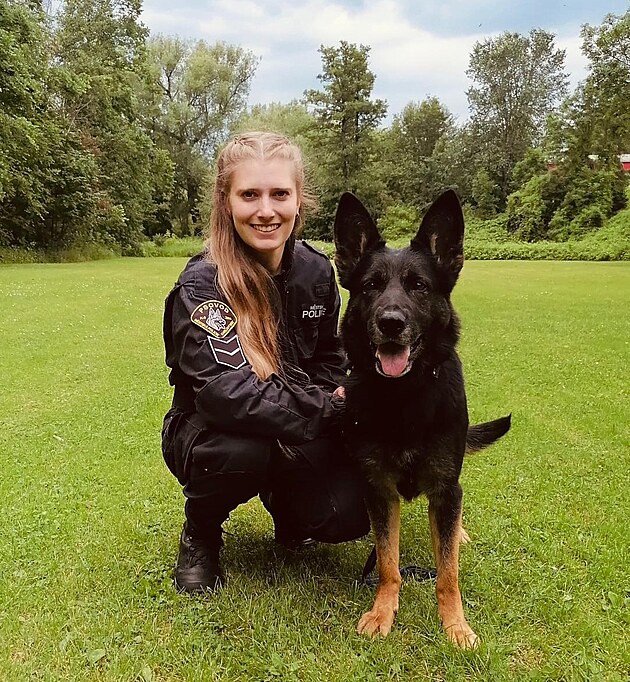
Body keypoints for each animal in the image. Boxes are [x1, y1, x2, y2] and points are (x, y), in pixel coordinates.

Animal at [333, 190, 511, 648]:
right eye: (371, 286)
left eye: (418, 286)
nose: (391, 323)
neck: (405, 398)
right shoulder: (379, 489)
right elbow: (388, 563)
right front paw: (383, 611)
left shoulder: (446, 488)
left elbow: (448, 572)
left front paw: (455, 624)